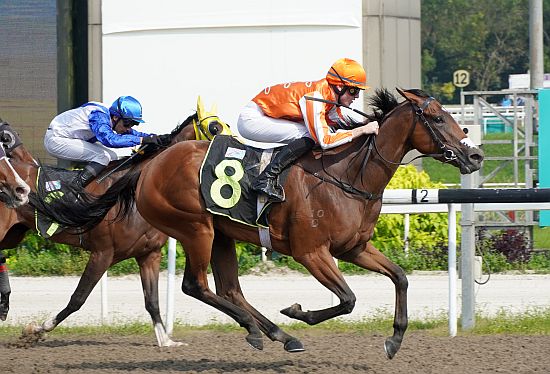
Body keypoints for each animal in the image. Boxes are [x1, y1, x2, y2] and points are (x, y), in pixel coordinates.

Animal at [0, 101, 231, 344]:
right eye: (214, 128)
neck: (131, 191)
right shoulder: (102, 253)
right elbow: (77, 299)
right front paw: (37, 329)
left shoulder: (149, 255)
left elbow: (152, 301)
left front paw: (166, 340)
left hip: (13, 234)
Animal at [31, 88, 488, 360]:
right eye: (437, 118)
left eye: (449, 114)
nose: (476, 155)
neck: (348, 175)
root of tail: (147, 168)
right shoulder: (311, 252)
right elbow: (347, 300)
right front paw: (298, 311)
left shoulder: (354, 247)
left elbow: (401, 277)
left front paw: (394, 339)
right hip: (196, 228)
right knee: (196, 285)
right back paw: (263, 329)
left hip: (221, 234)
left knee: (229, 289)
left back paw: (274, 334)